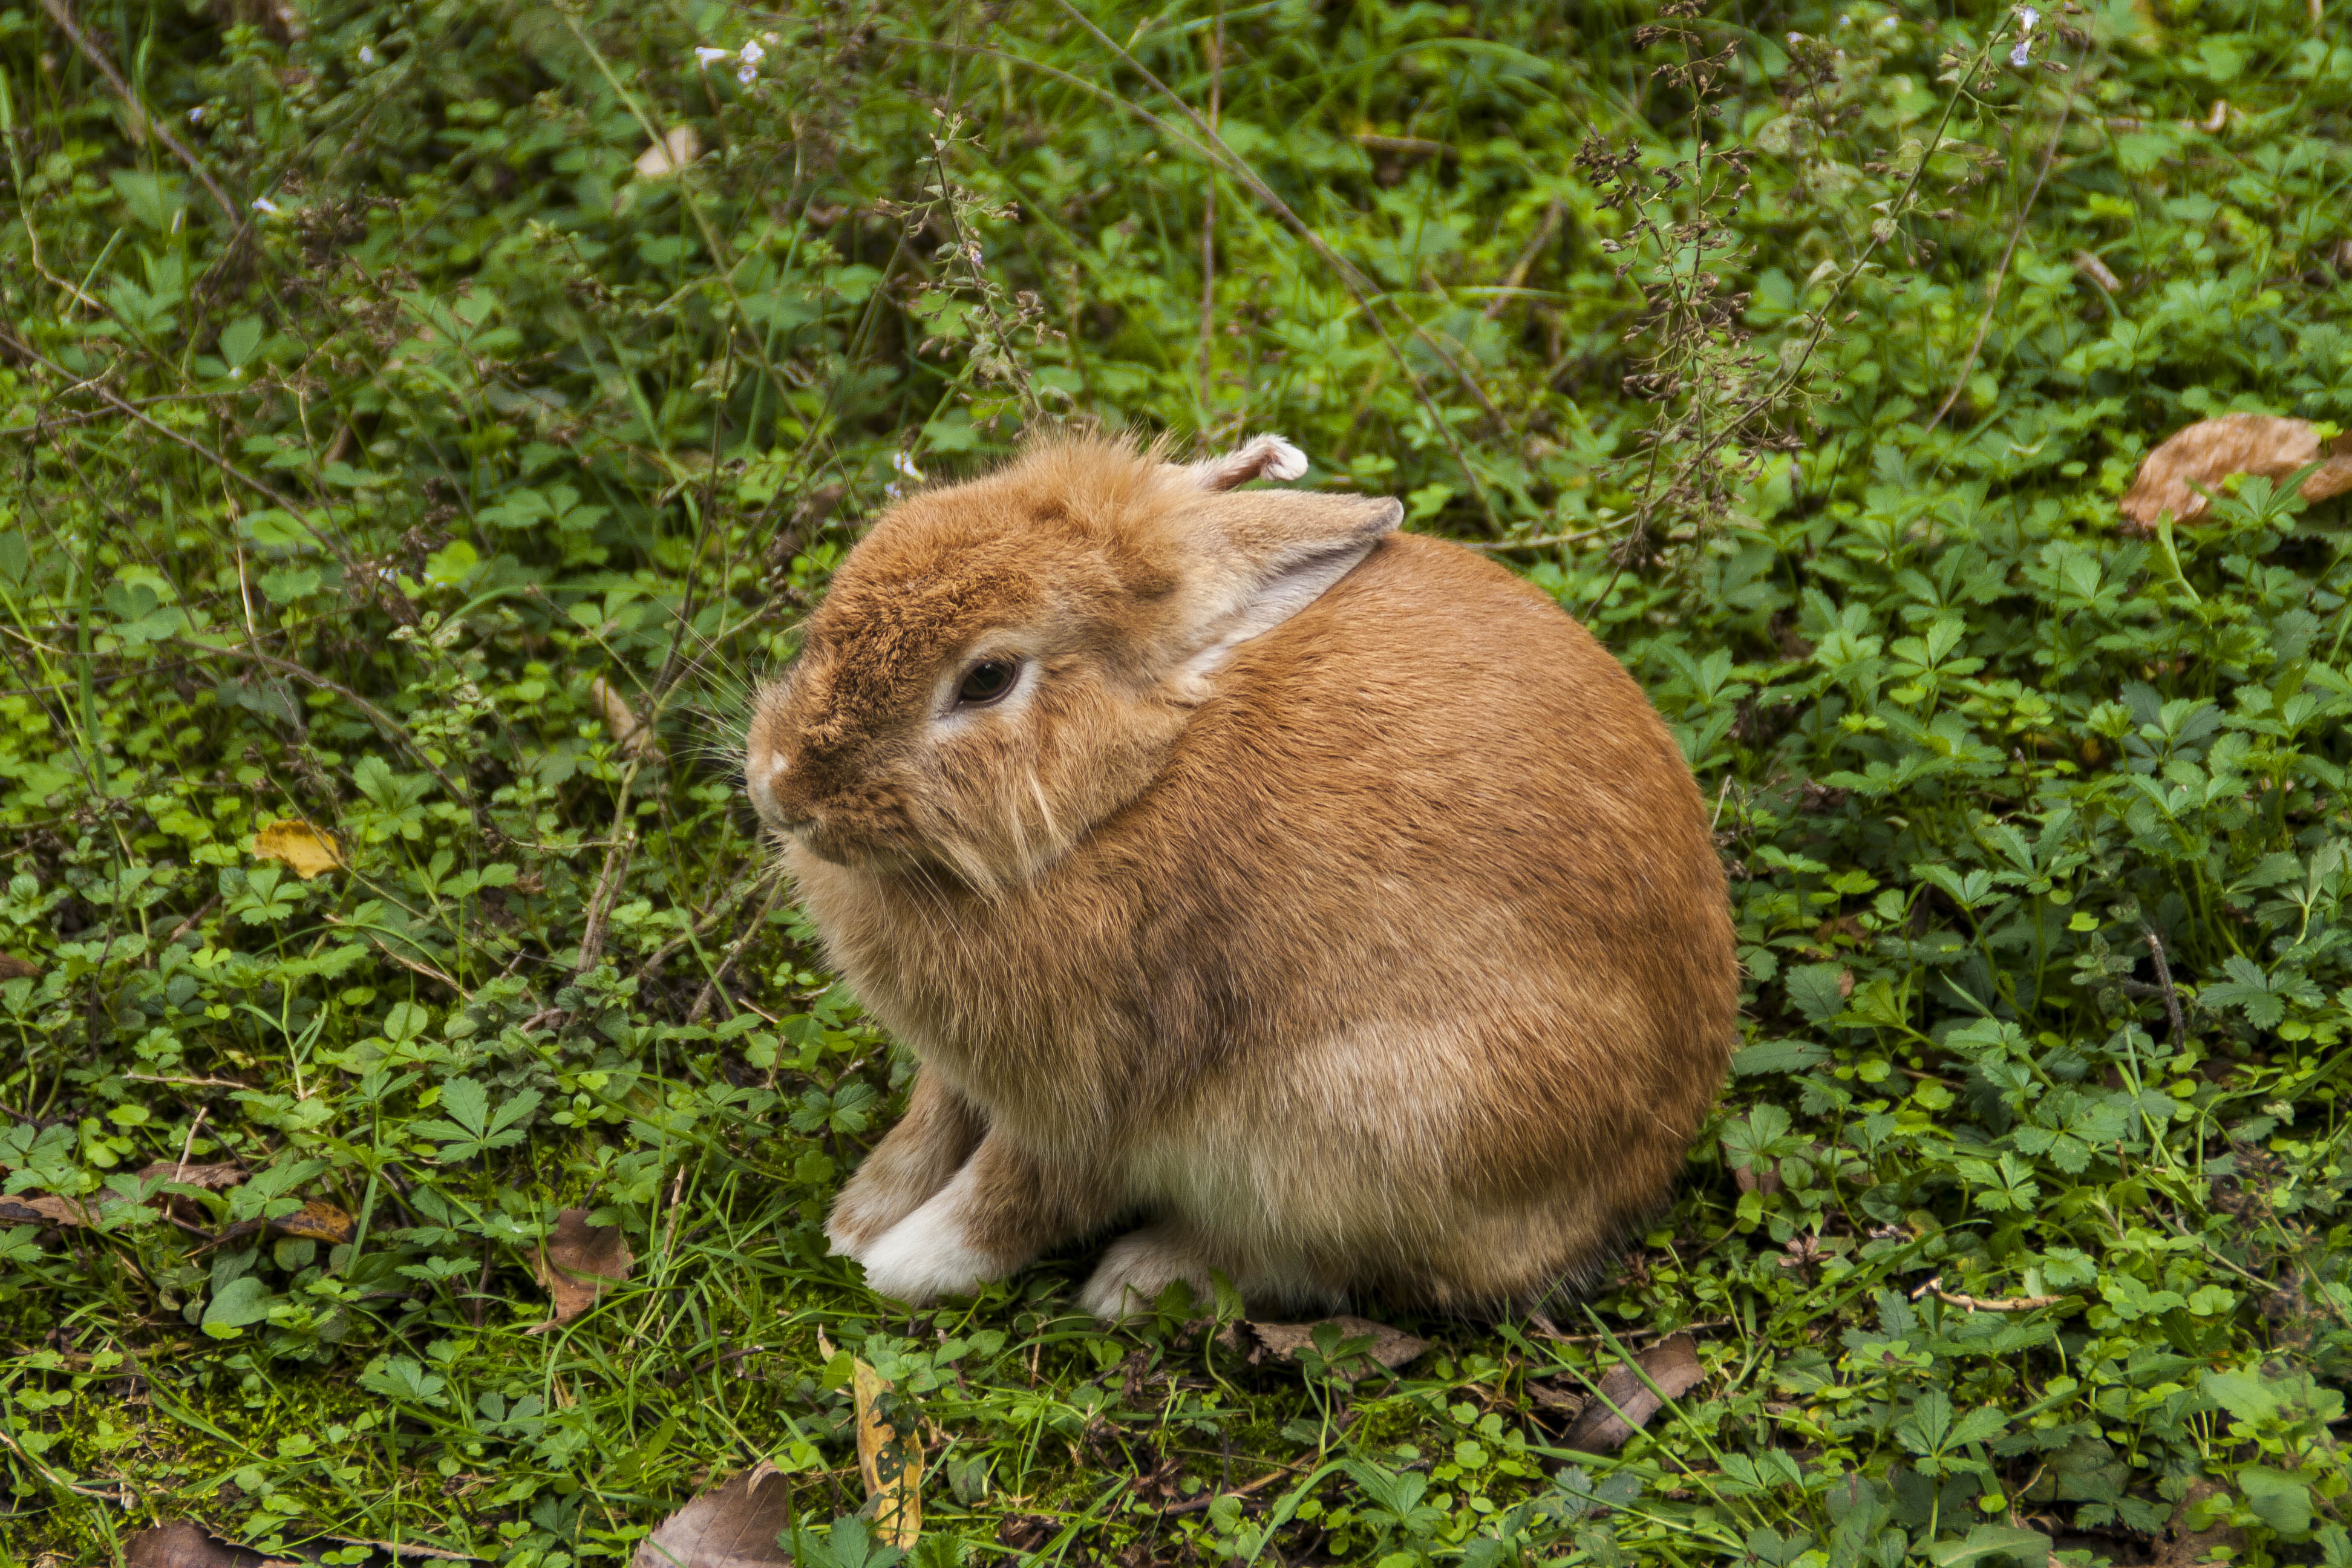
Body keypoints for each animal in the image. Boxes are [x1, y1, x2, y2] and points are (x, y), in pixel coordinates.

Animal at [743, 434, 1740, 1316]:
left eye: (987, 678)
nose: (782, 789)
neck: (1122, 796)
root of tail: (1651, 1158)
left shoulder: (1094, 1096)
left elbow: (1022, 1192)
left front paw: (901, 1266)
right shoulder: (967, 1075)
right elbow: (931, 1121)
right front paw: (857, 1222)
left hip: (1362, 1138)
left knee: (1321, 1264)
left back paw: (1138, 1281)